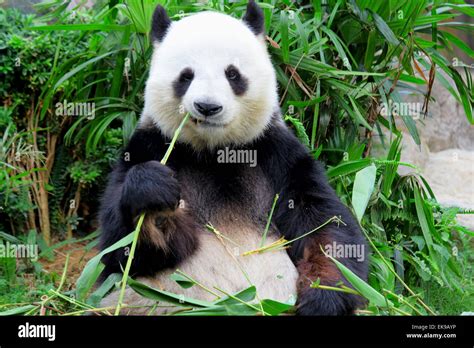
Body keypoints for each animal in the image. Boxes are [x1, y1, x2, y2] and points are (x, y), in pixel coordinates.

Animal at [98, 0, 368, 316]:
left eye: (232, 74)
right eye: (186, 76)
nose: (207, 107)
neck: (216, 152)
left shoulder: (277, 154)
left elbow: (325, 226)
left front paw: (323, 299)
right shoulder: (150, 145)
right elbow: (122, 250)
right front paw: (154, 200)